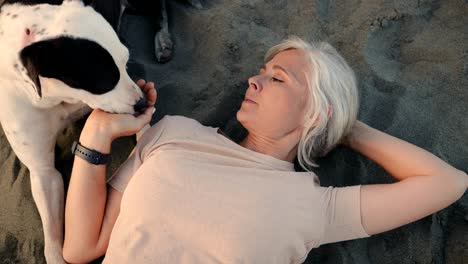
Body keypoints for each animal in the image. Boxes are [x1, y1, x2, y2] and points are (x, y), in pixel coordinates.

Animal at [0, 0, 148, 262]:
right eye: (105, 82)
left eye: (126, 62)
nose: (141, 103)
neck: (59, 96)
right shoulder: (43, 173)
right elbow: (51, 243)